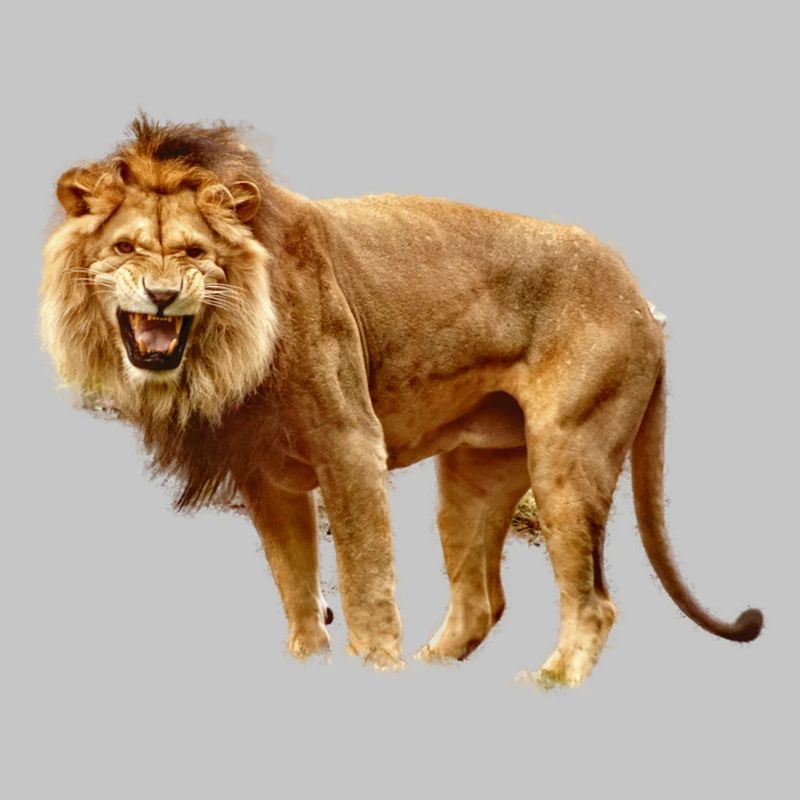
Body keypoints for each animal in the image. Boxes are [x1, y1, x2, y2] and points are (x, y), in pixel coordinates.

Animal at [40, 116, 762, 687]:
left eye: (195, 252)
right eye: (125, 248)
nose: (162, 296)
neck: (223, 351)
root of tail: (644, 303)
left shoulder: (350, 444)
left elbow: (365, 581)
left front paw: (375, 668)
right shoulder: (266, 475)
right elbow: (296, 585)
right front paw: (311, 665)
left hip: (569, 454)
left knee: (592, 603)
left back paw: (546, 682)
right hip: (475, 476)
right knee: (480, 602)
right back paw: (432, 673)